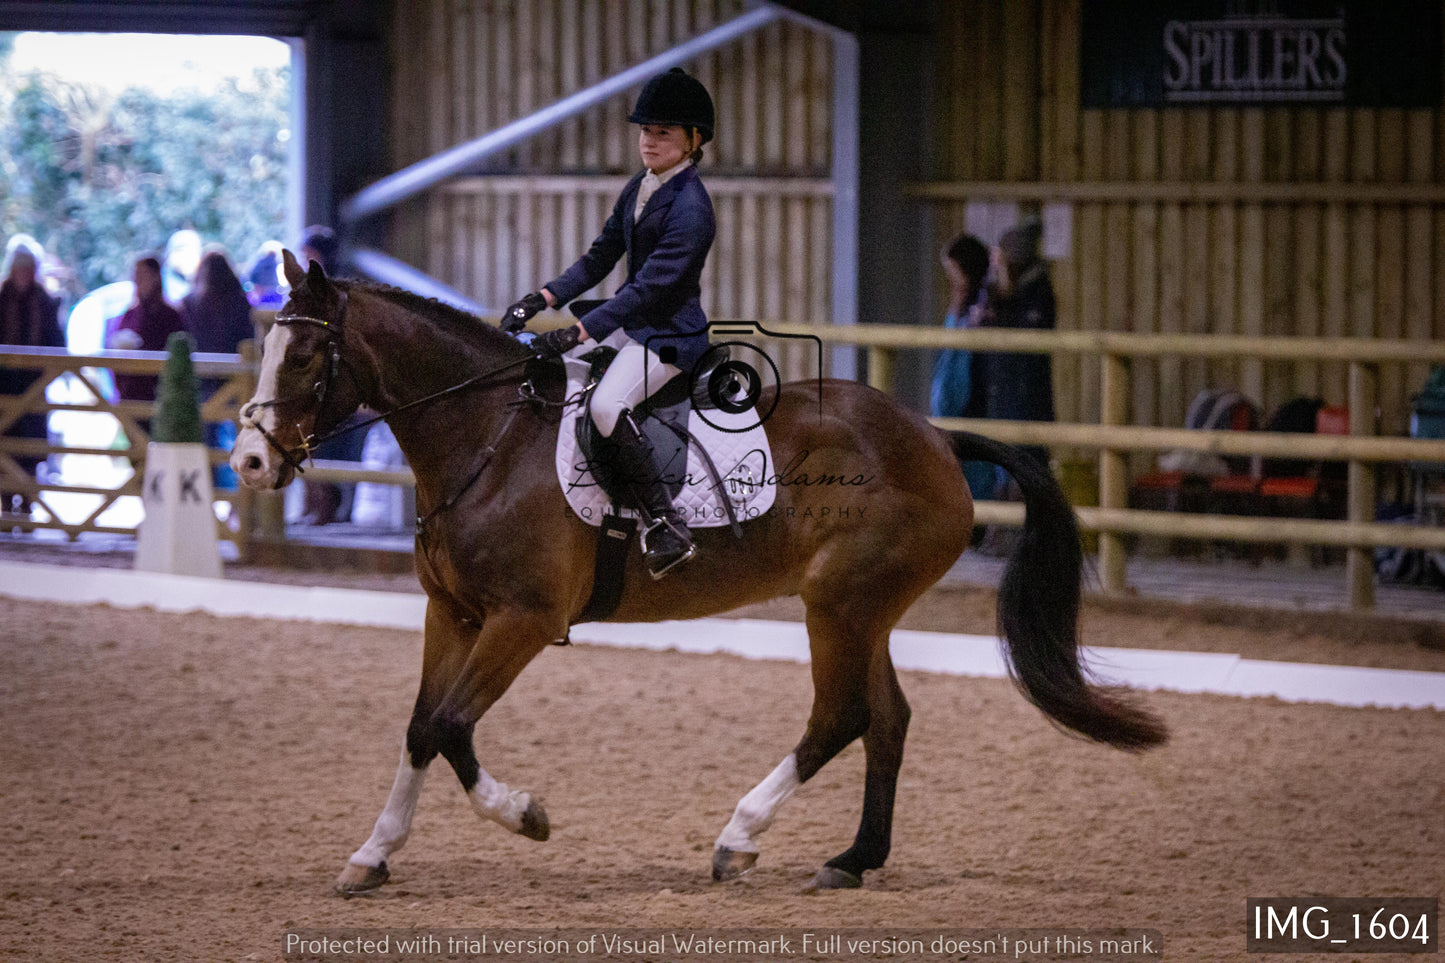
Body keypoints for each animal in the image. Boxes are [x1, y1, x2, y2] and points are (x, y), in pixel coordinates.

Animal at [231, 248, 1167, 890]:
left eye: (306, 359)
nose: (248, 461)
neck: (484, 438)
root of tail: (934, 436)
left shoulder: (523, 620)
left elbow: (451, 726)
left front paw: (525, 816)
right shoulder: (451, 614)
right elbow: (420, 727)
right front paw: (372, 852)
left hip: (839, 603)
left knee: (839, 715)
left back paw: (739, 837)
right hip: (861, 608)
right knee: (886, 719)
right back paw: (851, 857)